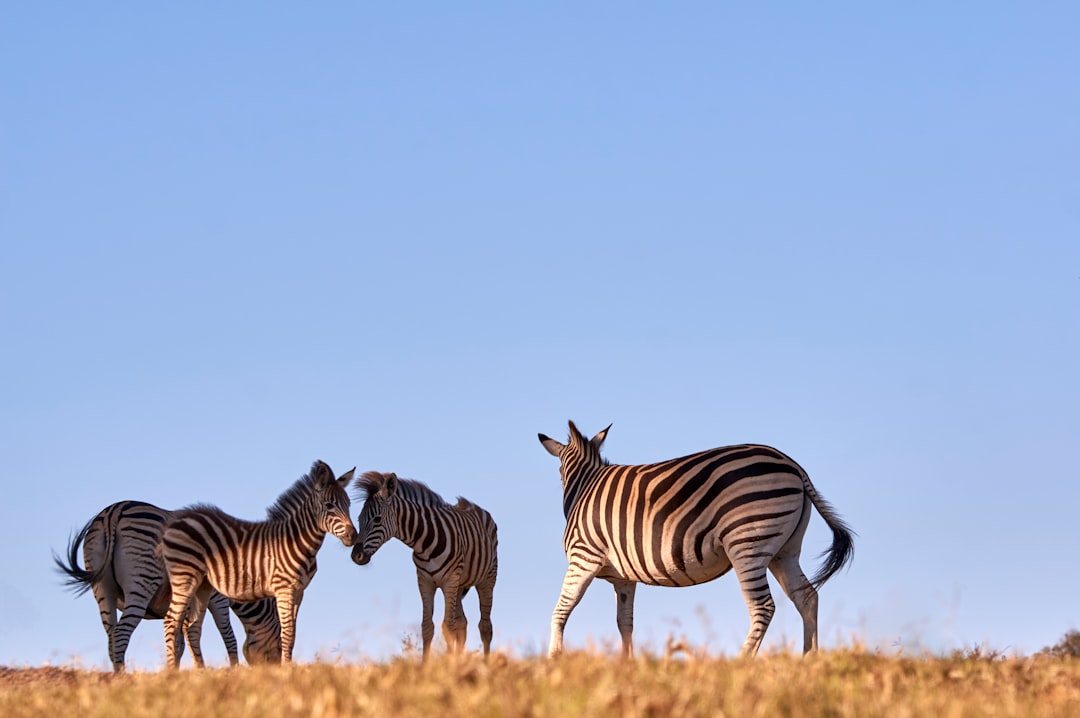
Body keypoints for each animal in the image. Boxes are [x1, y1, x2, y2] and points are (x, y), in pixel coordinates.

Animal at [52, 498, 280, 673]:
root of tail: (113, 512)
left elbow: (180, 640)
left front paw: (177, 671)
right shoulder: (217, 598)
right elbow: (224, 633)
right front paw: (228, 668)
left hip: (102, 589)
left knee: (110, 635)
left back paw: (115, 675)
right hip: (142, 581)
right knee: (121, 632)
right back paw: (123, 677)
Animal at [157, 459, 356, 665]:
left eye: (349, 504)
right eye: (329, 505)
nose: (353, 536)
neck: (297, 540)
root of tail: (176, 521)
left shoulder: (299, 592)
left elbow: (292, 634)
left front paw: (289, 665)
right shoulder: (283, 589)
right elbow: (287, 633)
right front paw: (287, 668)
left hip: (203, 585)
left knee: (192, 626)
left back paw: (200, 670)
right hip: (185, 577)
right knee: (171, 621)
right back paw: (172, 670)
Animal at [352, 470, 498, 660]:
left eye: (377, 520)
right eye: (359, 519)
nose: (356, 556)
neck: (424, 543)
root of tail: (473, 505)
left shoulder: (449, 580)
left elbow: (447, 627)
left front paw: (448, 665)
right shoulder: (425, 581)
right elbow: (427, 627)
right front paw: (427, 666)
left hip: (486, 579)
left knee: (485, 626)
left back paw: (486, 665)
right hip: (459, 585)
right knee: (462, 623)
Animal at [537, 421, 851, 660]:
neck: (584, 486)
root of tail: (795, 467)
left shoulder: (583, 557)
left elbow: (561, 610)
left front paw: (553, 660)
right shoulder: (624, 578)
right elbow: (624, 623)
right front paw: (628, 665)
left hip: (747, 544)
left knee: (763, 607)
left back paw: (741, 662)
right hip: (783, 551)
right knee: (806, 597)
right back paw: (809, 659)